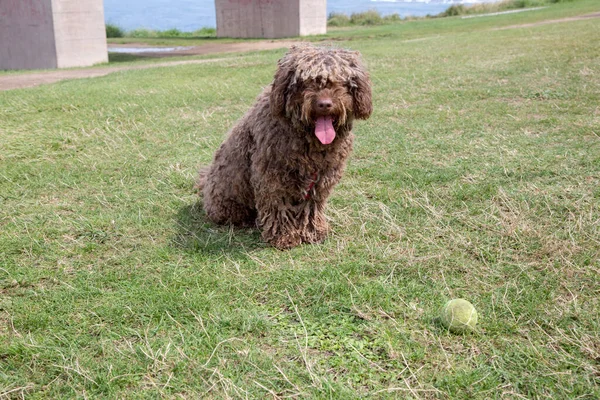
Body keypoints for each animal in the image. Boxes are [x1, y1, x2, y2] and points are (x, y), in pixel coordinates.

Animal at [197, 44, 372, 250]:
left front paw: (312, 231)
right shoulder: (272, 176)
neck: (308, 141)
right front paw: (284, 236)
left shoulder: (321, 177)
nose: (324, 104)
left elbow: (311, 205)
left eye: (341, 81)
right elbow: (278, 206)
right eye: (305, 82)